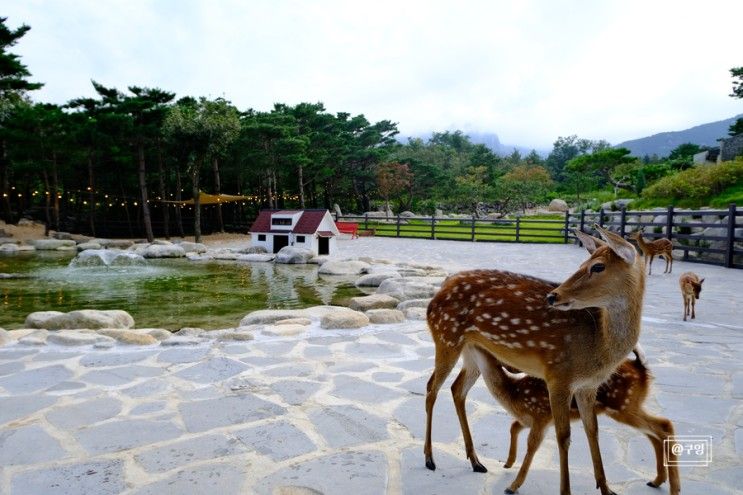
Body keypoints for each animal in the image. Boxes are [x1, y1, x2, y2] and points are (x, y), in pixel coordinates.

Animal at [428, 227, 648, 495]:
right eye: (582, 263)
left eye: (598, 266)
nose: (553, 296)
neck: (599, 347)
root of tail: (440, 289)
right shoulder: (558, 376)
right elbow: (563, 436)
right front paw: (565, 491)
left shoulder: (587, 386)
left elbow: (593, 430)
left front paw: (606, 488)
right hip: (446, 336)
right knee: (432, 388)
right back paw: (429, 459)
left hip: (472, 350)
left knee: (457, 389)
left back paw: (476, 461)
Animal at [460, 344, 684, 495]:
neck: (514, 395)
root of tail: (641, 367)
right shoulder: (529, 419)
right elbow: (513, 426)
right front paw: (507, 462)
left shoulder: (541, 415)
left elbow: (531, 445)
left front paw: (512, 486)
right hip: (629, 406)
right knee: (655, 432)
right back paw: (657, 481)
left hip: (623, 406)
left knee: (664, 425)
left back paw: (673, 487)